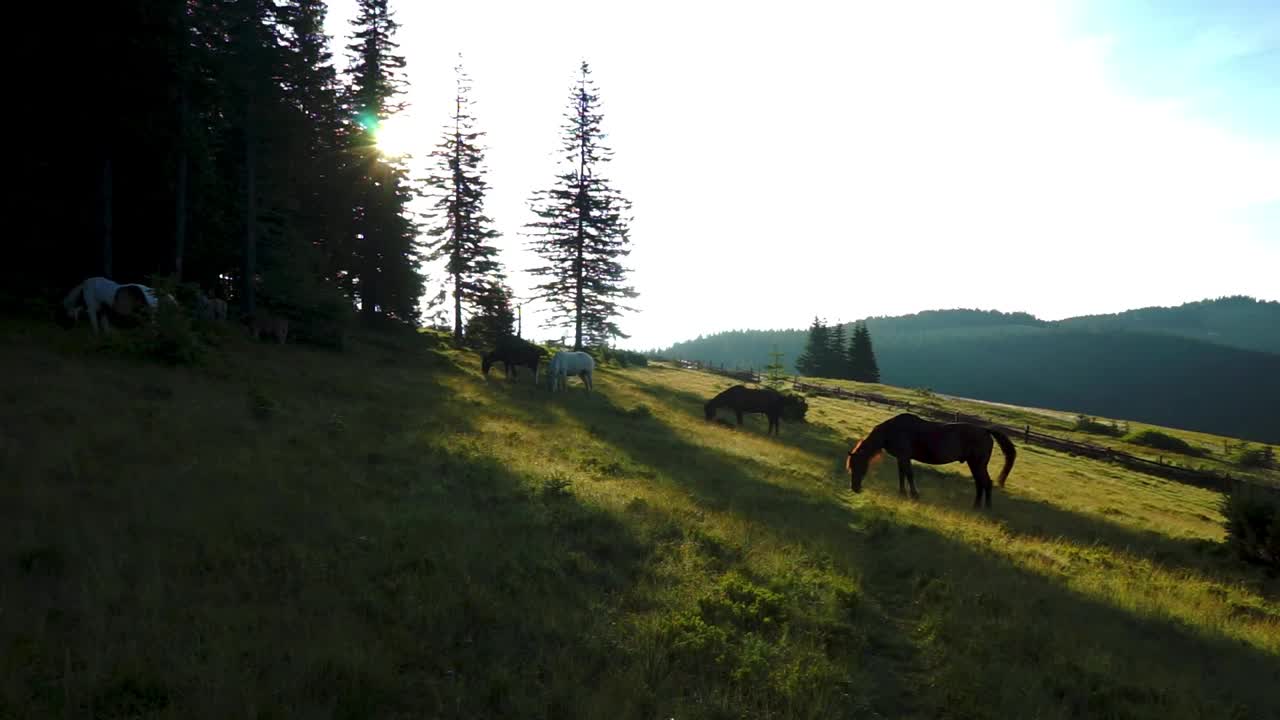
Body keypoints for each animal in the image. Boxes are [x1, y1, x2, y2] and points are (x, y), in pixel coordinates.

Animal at [844, 412, 1013, 507]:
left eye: (858, 466)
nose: (855, 488)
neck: (891, 431)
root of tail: (985, 430)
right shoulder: (901, 458)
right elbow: (902, 475)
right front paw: (902, 493)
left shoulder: (905, 457)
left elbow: (909, 475)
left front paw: (914, 495)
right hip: (974, 464)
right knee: (980, 484)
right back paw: (976, 506)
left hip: (978, 464)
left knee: (986, 483)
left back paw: (987, 508)